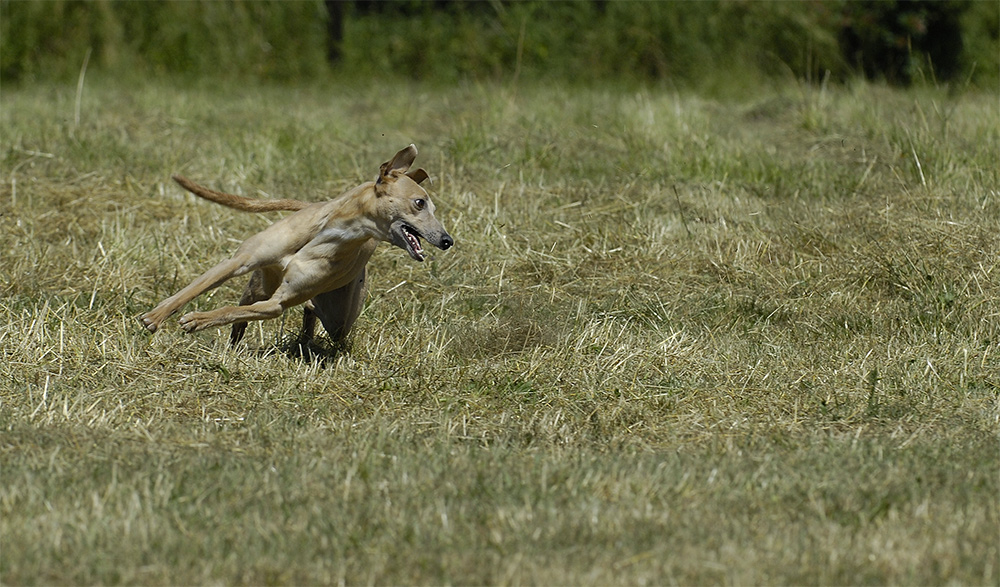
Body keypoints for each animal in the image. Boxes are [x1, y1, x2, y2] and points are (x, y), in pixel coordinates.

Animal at [141, 145, 454, 346]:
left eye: (434, 207)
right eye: (419, 203)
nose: (447, 241)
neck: (327, 232)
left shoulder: (277, 303)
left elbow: (228, 310)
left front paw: (197, 319)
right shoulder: (238, 262)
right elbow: (190, 291)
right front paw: (156, 317)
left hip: (339, 316)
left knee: (314, 315)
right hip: (258, 286)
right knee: (245, 314)